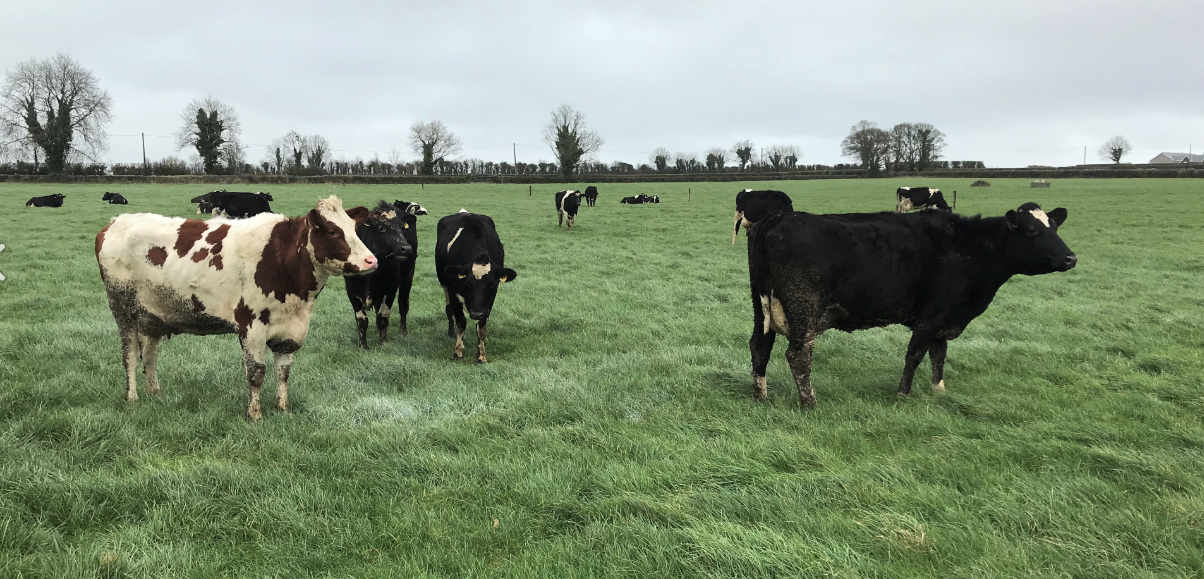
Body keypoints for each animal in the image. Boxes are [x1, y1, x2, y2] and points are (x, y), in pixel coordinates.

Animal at [95, 195, 377, 419]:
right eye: (332, 232)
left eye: (354, 228)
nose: (371, 260)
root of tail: (115, 222)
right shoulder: (251, 325)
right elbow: (257, 373)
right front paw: (255, 414)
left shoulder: (289, 331)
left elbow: (283, 372)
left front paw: (283, 408)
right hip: (123, 309)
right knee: (130, 356)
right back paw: (132, 397)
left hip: (154, 316)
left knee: (150, 355)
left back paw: (155, 393)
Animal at [344, 201, 418, 348]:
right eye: (381, 228)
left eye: (402, 228)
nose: (406, 248)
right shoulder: (351, 291)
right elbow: (361, 321)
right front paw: (363, 346)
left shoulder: (390, 289)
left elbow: (383, 316)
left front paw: (382, 343)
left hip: (408, 279)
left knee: (403, 305)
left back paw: (403, 332)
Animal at [435, 211, 518, 364]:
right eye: (467, 283)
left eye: (491, 285)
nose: (476, 314)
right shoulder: (453, 292)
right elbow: (461, 322)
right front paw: (458, 352)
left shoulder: (490, 300)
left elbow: (481, 327)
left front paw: (481, 355)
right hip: (444, 286)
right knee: (449, 310)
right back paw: (451, 332)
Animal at [746, 202, 1076, 408]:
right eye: (1032, 230)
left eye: (1055, 227)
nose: (1071, 257)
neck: (970, 248)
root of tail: (779, 217)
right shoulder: (930, 316)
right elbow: (915, 355)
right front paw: (902, 396)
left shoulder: (944, 318)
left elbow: (939, 354)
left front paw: (938, 392)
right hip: (804, 308)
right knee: (798, 354)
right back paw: (810, 403)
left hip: (761, 308)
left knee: (759, 346)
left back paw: (761, 396)